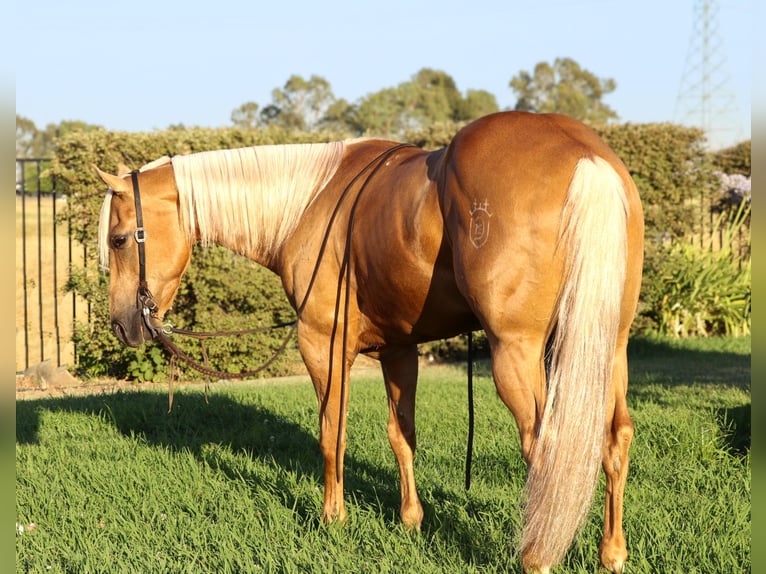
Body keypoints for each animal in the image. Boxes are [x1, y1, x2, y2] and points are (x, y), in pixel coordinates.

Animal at [97, 112, 648, 574]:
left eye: (119, 239)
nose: (123, 325)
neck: (308, 204)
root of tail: (586, 158)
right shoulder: (398, 351)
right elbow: (401, 434)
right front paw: (411, 519)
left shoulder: (322, 344)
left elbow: (331, 432)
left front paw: (332, 516)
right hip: (610, 347)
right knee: (614, 437)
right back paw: (611, 552)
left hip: (517, 352)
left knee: (545, 446)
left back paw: (536, 555)